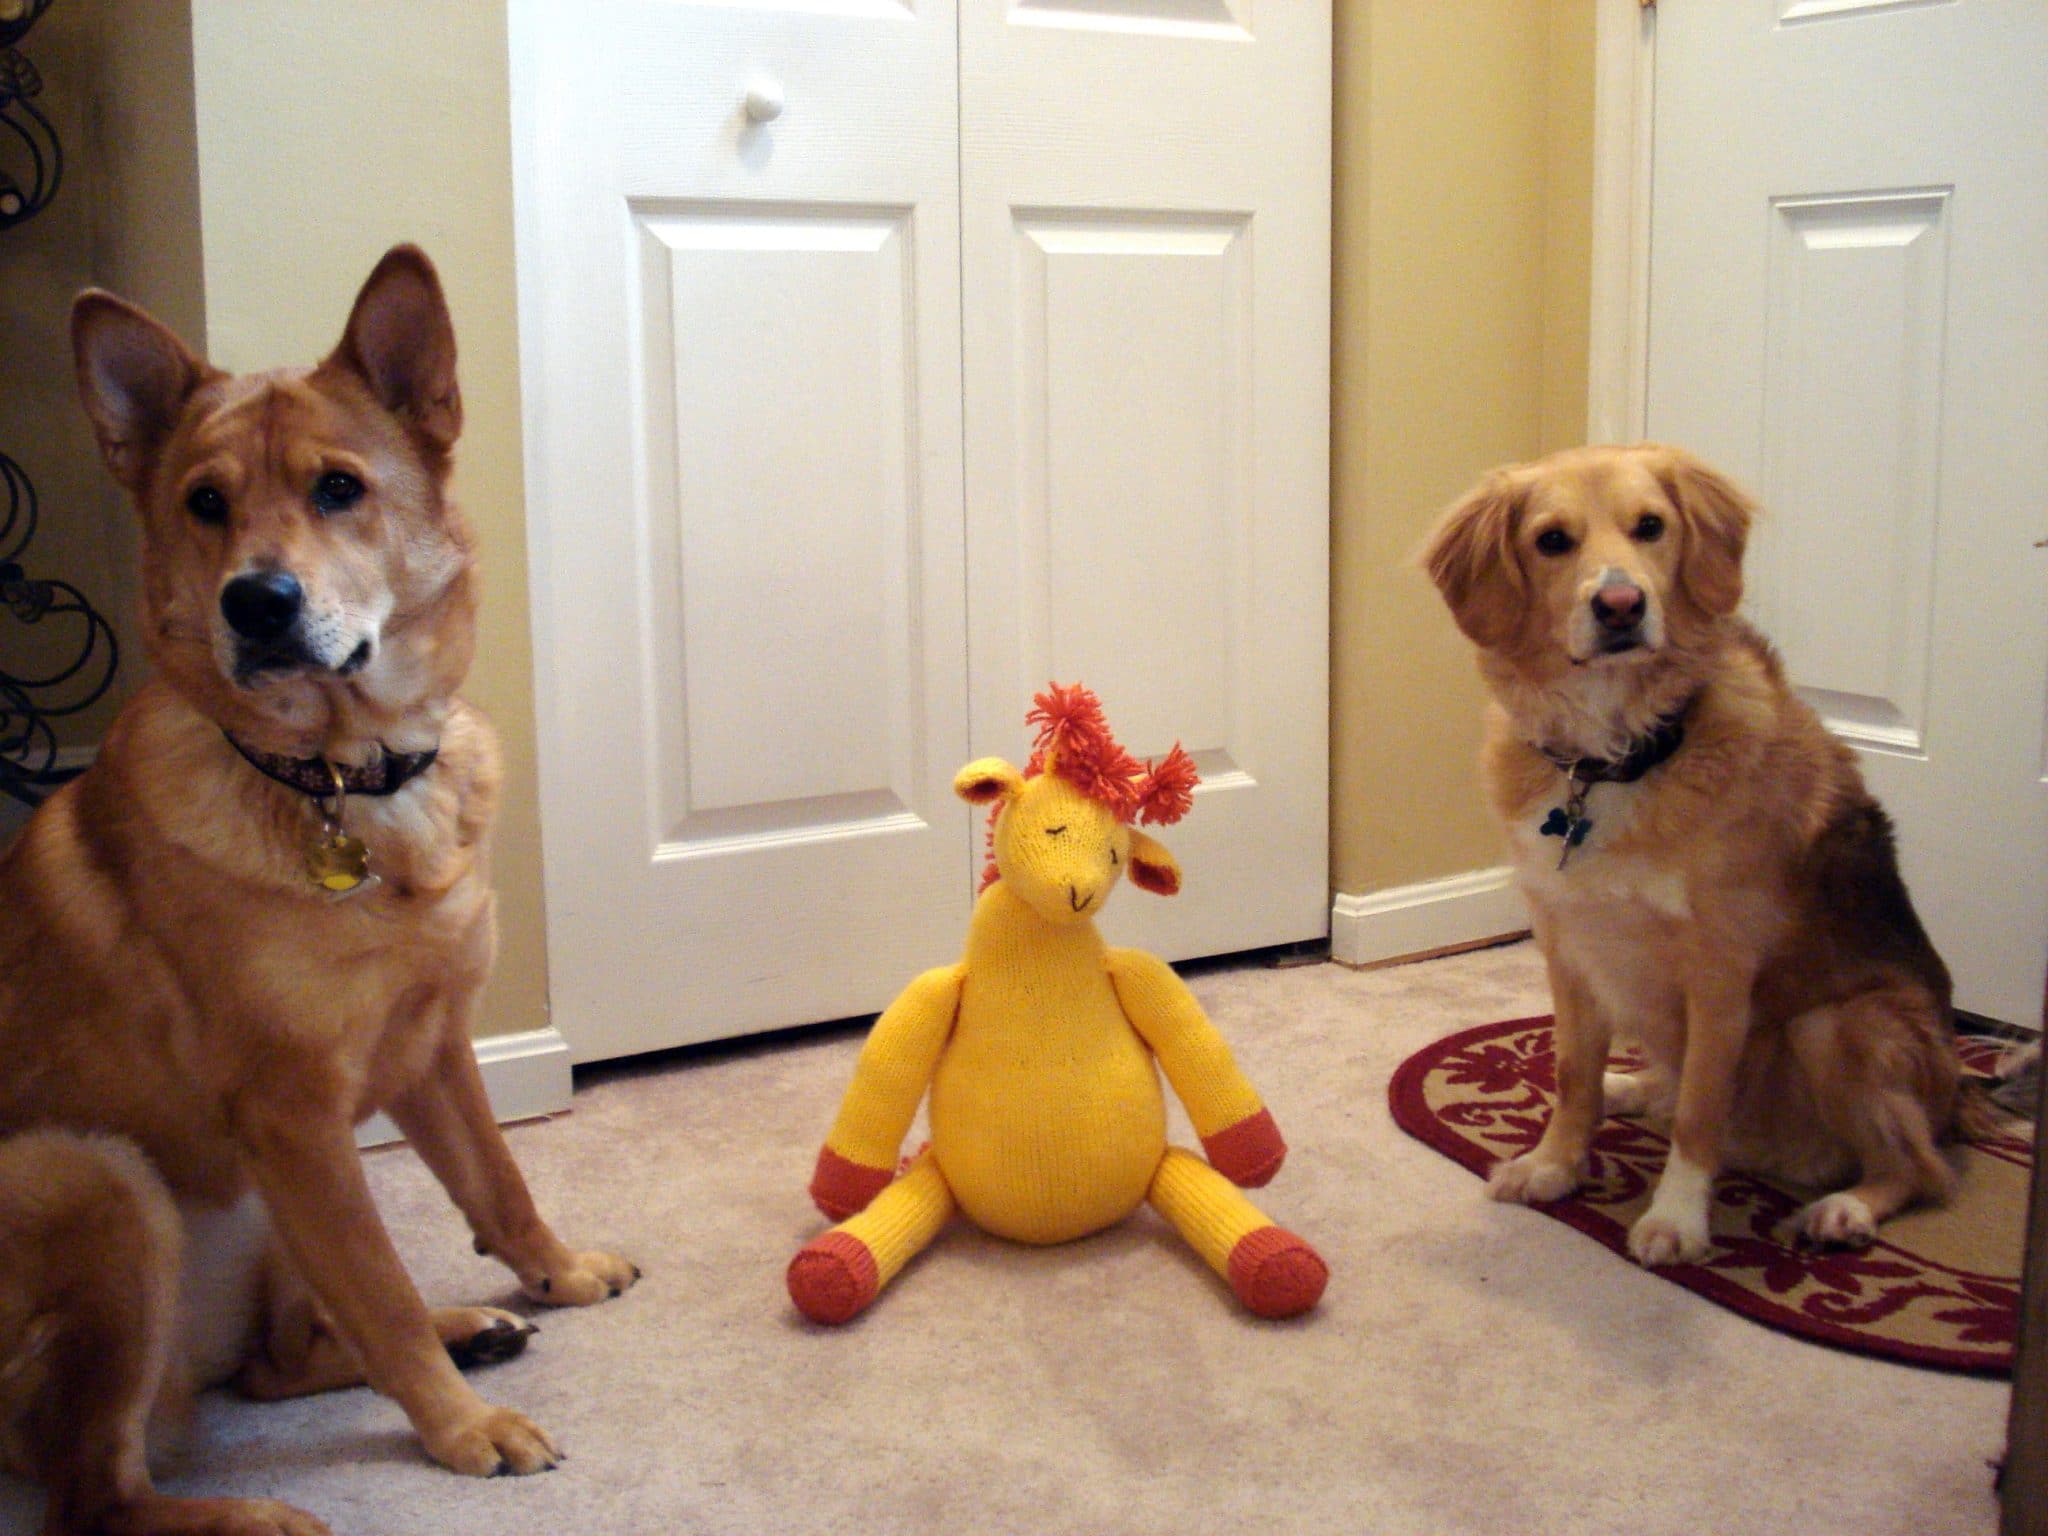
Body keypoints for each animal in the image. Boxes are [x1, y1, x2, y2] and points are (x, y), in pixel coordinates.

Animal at [0, 246, 634, 1531]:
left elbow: (499, 1182)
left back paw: (475, 1327)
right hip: (96, 1177)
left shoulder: (429, 1048)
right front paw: (463, 1431)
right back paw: (260, 1510)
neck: (345, 778)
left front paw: (553, 1274)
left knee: (271, 1364)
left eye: (339, 488)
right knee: (101, 1489)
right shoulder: (293, 1114)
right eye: (204, 504)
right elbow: (381, 1291)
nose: (257, 602)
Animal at [1425, 444, 1982, 1277]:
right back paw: (1630, 1086)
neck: (1613, 758)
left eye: (1650, 527)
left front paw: (1676, 1219)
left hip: (1838, 1025)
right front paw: (1556, 1164)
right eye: (1552, 541)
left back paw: (1845, 1209)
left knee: (1919, 1167)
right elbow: (1570, 1074)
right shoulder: (1571, 947)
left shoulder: (1719, 973)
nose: (1621, 605)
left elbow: (1698, 1113)